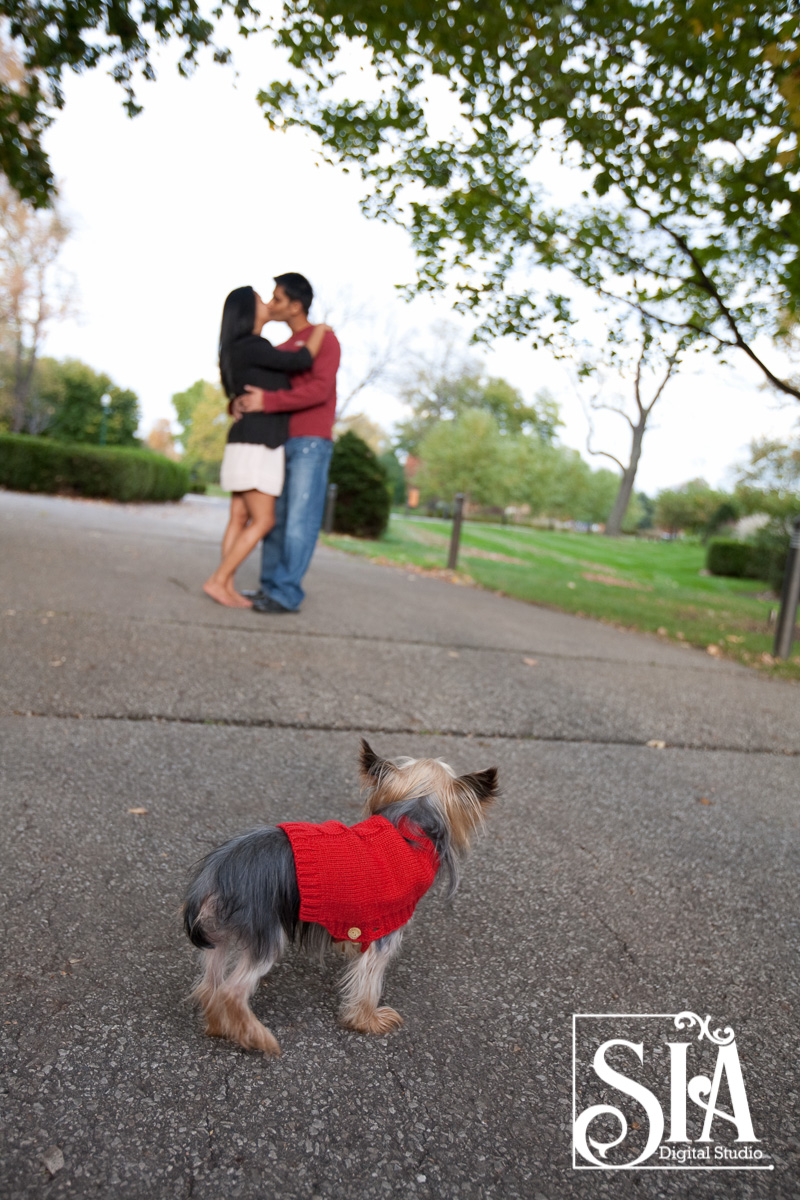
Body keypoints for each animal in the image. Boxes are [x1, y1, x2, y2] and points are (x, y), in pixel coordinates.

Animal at [182, 734, 496, 1056]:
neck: (411, 819)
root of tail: (214, 873)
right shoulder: (387, 928)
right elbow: (369, 981)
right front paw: (368, 1021)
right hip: (265, 933)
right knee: (231, 992)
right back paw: (257, 1037)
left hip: (218, 933)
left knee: (210, 983)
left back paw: (219, 1026)